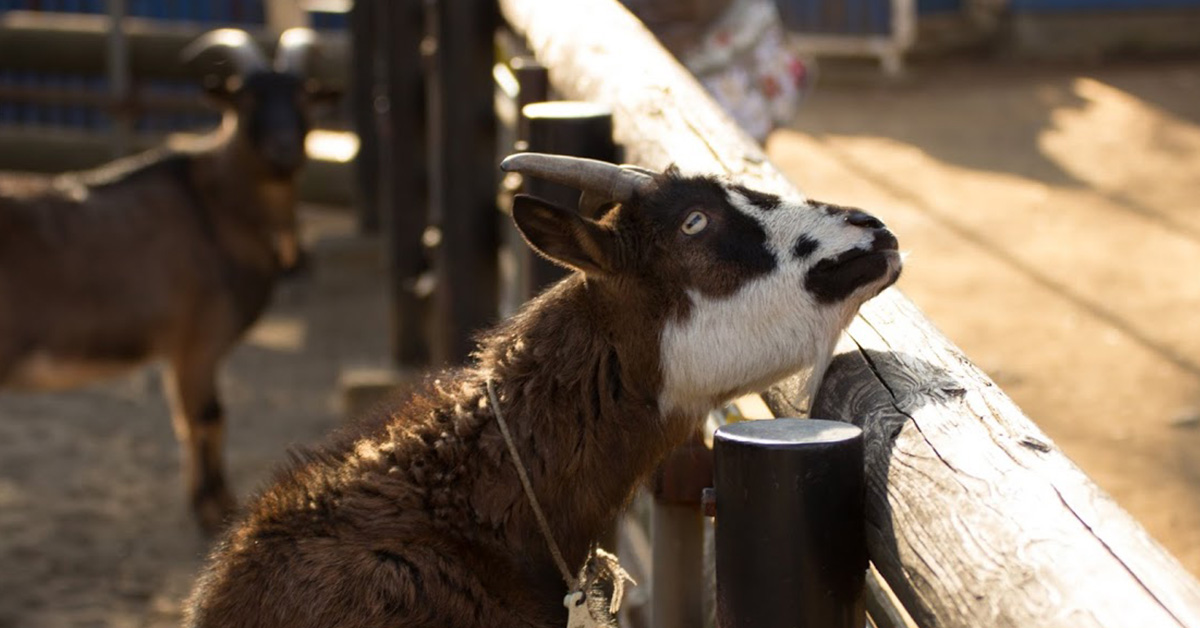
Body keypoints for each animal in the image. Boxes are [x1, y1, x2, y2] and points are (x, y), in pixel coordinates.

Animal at [0, 27, 324, 533]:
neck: (213, 205)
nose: (284, 152)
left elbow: (190, 419)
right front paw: (216, 508)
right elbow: (208, 417)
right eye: (246, 98)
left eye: (304, 96)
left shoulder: (179, 350)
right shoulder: (197, 339)